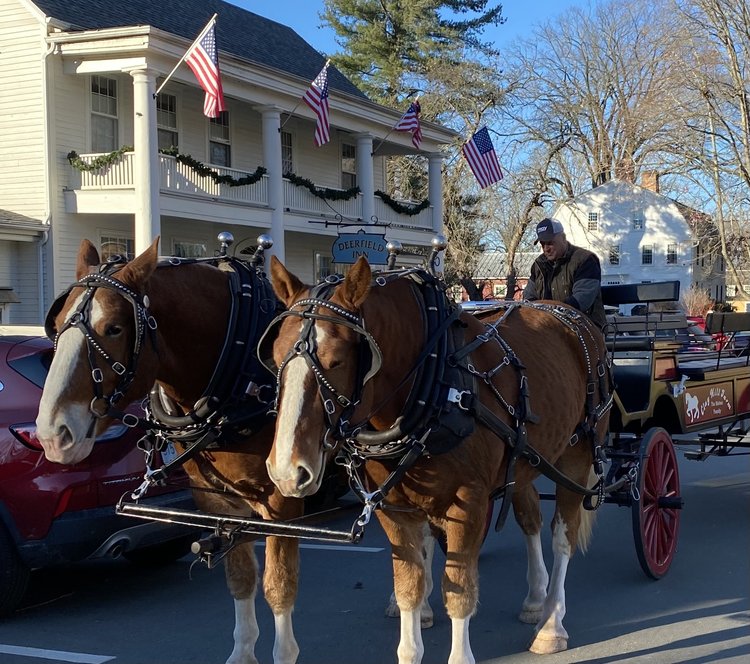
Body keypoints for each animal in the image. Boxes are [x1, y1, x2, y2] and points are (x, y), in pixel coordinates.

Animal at [35, 239, 306, 664]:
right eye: (58, 322)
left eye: (114, 328)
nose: (52, 433)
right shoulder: (219, 503)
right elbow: (241, 578)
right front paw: (243, 653)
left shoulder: (282, 503)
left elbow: (278, 587)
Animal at [262, 258, 612, 664]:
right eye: (273, 357)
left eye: (336, 361)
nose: (287, 471)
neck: (436, 385)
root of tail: (573, 317)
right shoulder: (395, 510)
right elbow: (408, 587)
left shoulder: (468, 505)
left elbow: (458, 590)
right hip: (526, 459)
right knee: (530, 519)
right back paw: (535, 599)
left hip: (577, 457)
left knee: (562, 536)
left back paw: (551, 624)